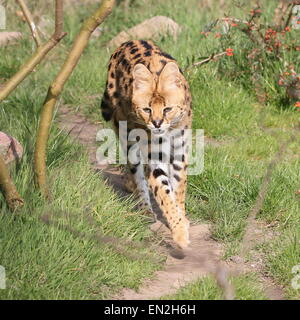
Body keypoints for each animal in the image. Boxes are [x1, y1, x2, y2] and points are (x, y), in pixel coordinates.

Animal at [101, 40, 192, 249]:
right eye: (147, 109)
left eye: (167, 109)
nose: (157, 124)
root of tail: (128, 41)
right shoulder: (155, 158)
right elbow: (165, 194)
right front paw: (179, 232)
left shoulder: (179, 154)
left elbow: (178, 189)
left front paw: (181, 218)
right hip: (126, 133)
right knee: (136, 170)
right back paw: (144, 208)